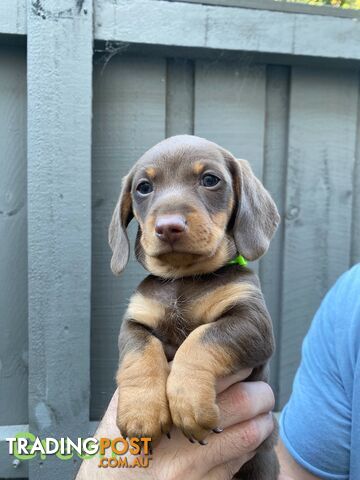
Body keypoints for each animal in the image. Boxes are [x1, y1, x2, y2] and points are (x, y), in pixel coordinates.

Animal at [108, 133, 280, 478]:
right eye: (143, 187)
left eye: (210, 180)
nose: (168, 226)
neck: (183, 278)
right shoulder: (135, 321)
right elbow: (140, 352)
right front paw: (141, 411)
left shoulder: (253, 323)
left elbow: (201, 339)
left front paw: (188, 401)